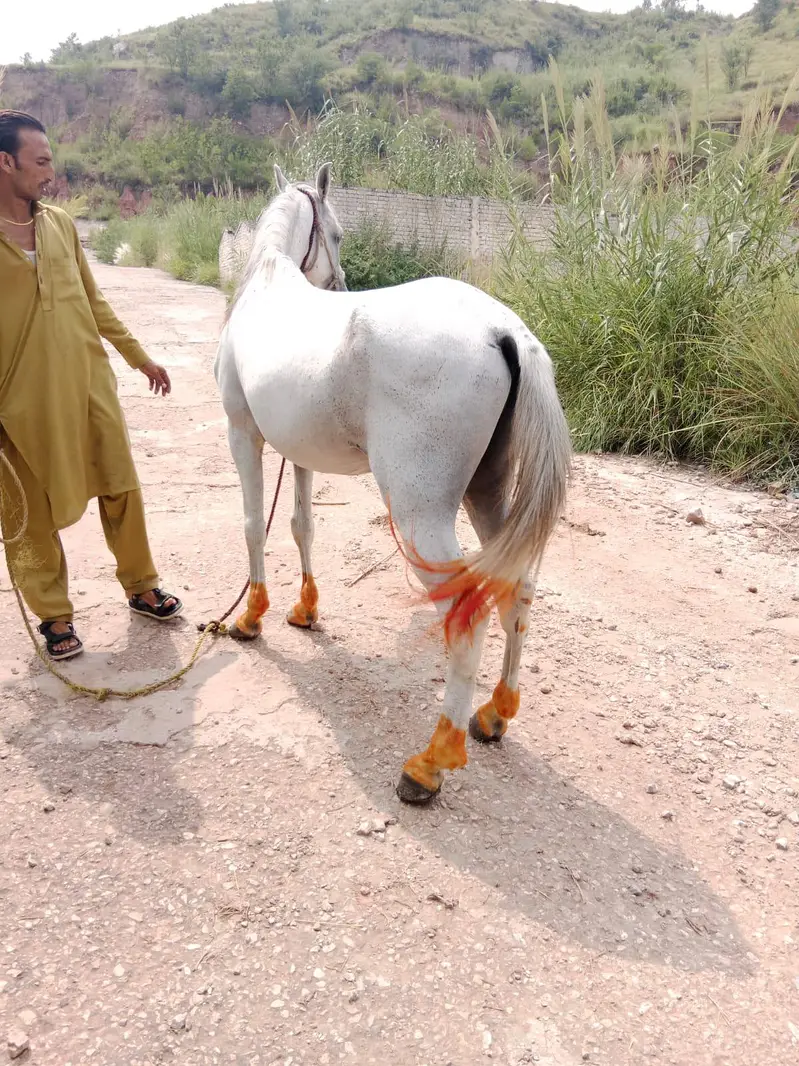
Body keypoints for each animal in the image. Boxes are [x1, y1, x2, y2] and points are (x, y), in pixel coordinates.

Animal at [214, 162, 572, 805]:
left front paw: (251, 618)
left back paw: (429, 765)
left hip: (420, 514)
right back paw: (494, 715)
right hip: (487, 494)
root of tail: (506, 331)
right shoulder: (298, 453)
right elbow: (301, 525)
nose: (340, 283)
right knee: (518, 588)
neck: (268, 288)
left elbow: (255, 525)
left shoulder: (243, 435)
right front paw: (304, 611)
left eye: (337, 232)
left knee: (467, 615)